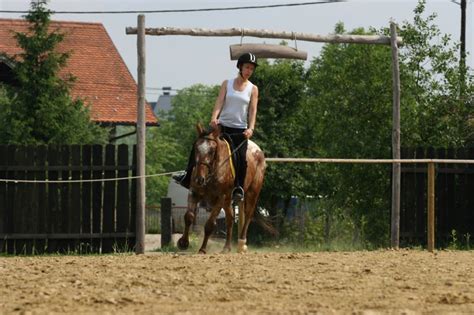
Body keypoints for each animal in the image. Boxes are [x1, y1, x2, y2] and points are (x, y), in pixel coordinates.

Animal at [178, 124, 266, 254]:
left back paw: (241, 244)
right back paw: (226, 247)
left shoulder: (221, 197)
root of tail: (258, 150)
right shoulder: (194, 192)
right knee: (230, 218)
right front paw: (183, 243)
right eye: (196, 149)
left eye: (211, 151)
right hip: (228, 200)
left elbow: (210, 224)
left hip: (252, 193)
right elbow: (188, 216)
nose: (199, 179)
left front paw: (203, 249)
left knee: (248, 216)